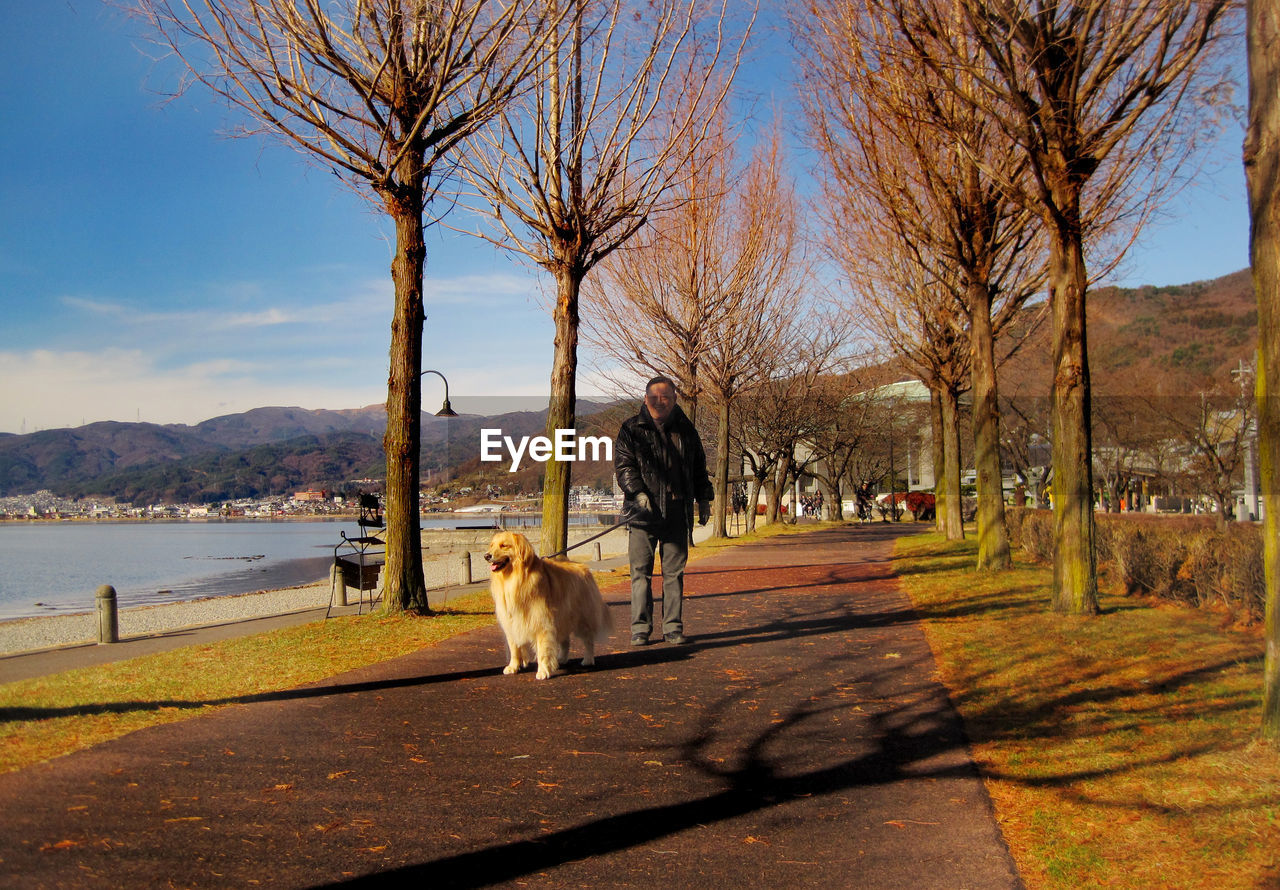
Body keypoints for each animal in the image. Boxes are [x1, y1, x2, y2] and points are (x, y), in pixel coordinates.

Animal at [483, 530, 614, 681]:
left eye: (504, 545)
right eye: (491, 545)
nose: (486, 556)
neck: (515, 579)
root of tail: (585, 569)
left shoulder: (542, 622)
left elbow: (542, 651)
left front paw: (543, 671)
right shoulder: (511, 622)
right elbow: (514, 648)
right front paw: (513, 667)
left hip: (582, 618)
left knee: (588, 640)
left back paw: (588, 660)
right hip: (562, 618)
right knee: (566, 641)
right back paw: (562, 659)